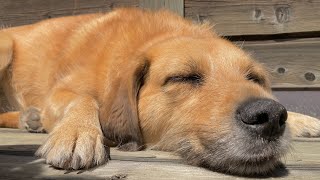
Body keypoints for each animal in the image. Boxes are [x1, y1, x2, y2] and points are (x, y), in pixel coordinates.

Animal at [0, 7, 320, 175]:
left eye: (253, 78)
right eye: (183, 78)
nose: (270, 117)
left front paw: (304, 120)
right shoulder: (61, 91)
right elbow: (84, 98)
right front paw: (77, 133)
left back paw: (31, 118)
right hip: (4, 47)